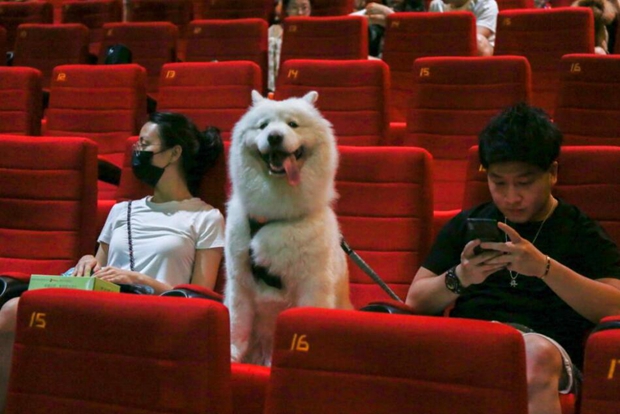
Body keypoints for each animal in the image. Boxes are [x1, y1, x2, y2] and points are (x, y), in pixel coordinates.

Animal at [224, 90, 352, 366]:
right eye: (263, 126)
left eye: (293, 124)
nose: (274, 136)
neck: (276, 216)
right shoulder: (239, 282)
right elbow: (236, 324)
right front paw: (232, 354)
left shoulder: (313, 285)